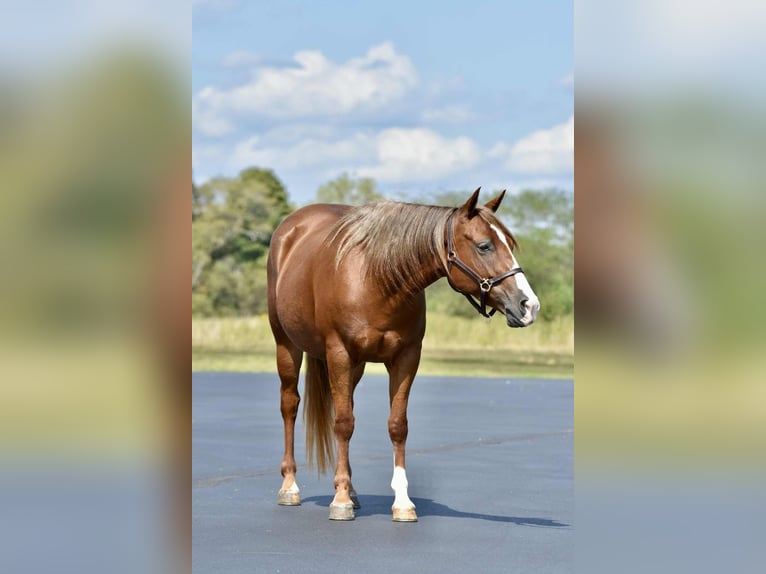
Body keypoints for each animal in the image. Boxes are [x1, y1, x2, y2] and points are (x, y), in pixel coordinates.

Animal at [266, 188, 540, 521]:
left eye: (509, 245)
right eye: (484, 246)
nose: (529, 305)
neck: (376, 280)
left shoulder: (406, 358)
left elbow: (397, 426)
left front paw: (401, 502)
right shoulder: (339, 353)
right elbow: (342, 424)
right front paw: (340, 501)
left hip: (355, 367)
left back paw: (352, 490)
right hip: (287, 345)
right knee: (290, 406)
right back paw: (291, 486)